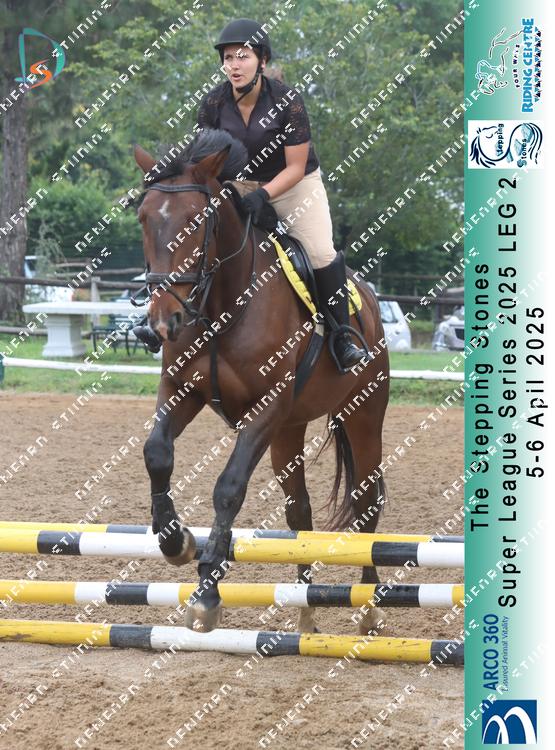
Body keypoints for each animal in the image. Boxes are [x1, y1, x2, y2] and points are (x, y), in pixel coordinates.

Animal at [133, 129, 390, 634]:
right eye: (143, 217)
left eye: (197, 221)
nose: (164, 322)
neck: (221, 305)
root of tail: (370, 300)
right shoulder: (182, 390)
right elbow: (157, 453)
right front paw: (176, 541)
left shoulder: (265, 408)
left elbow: (229, 487)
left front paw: (207, 594)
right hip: (289, 430)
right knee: (300, 510)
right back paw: (307, 614)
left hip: (363, 416)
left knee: (366, 499)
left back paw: (369, 610)